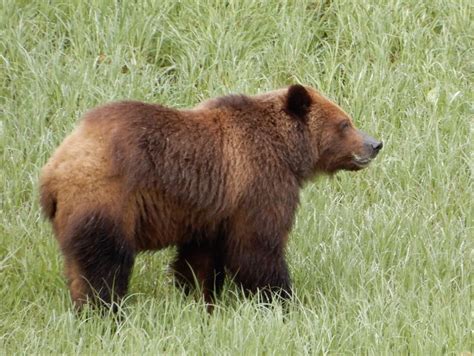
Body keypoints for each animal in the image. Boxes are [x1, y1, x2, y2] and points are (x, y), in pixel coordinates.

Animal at [39, 85, 384, 308]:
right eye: (345, 123)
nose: (375, 144)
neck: (287, 153)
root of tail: (54, 169)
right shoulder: (258, 184)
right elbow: (258, 248)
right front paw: (281, 298)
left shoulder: (212, 211)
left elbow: (199, 259)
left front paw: (198, 297)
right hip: (107, 199)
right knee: (106, 263)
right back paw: (106, 310)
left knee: (80, 263)